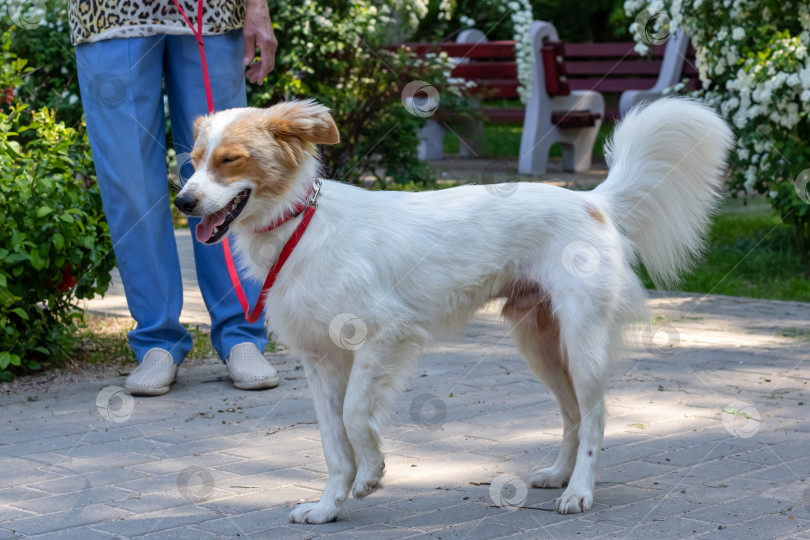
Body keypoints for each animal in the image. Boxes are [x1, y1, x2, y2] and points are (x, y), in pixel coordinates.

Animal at [175, 98, 732, 524]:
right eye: (194, 161)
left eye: (230, 160)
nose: (182, 203)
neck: (302, 228)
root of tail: (591, 201)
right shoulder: (319, 360)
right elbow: (333, 441)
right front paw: (329, 505)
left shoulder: (385, 334)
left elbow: (355, 417)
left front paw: (371, 474)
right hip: (539, 343)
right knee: (572, 414)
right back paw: (559, 475)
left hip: (582, 341)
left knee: (594, 416)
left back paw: (580, 491)